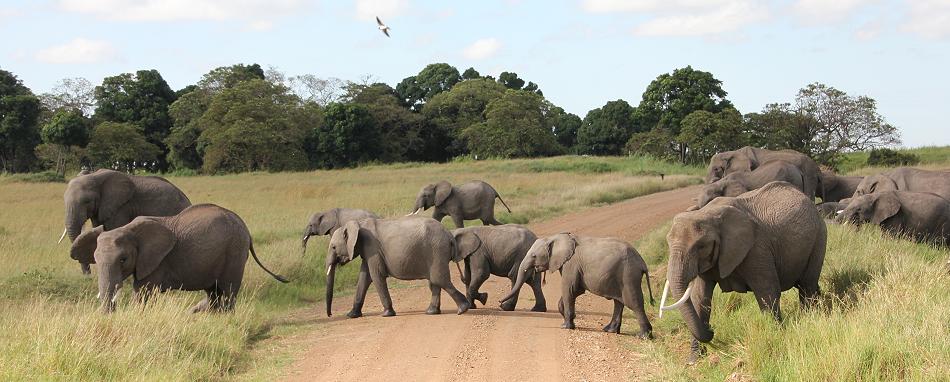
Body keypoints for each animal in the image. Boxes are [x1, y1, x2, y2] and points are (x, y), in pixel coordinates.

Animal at [69, 204, 288, 312]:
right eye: (95, 259)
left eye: (123, 260)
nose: (111, 313)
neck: (128, 229)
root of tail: (246, 228)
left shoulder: (156, 262)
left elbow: (143, 293)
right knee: (213, 291)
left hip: (234, 251)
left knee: (227, 290)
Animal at [328, 216, 472, 318]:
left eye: (333, 247)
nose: (330, 315)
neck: (358, 223)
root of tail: (449, 234)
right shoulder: (368, 251)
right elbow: (364, 278)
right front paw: (351, 315)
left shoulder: (372, 248)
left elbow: (376, 276)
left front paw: (387, 314)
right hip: (437, 252)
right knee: (436, 281)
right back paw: (431, 312)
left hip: (437, 251)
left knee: (439, 279)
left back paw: (463, 309)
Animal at [502, 233, 660, 338]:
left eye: (534, 256)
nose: (500, 302)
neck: (557, 237)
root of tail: (642, 262)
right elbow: (576, 290)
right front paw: (570, 320)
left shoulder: (570, 265)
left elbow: (569, 289)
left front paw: (565, 327)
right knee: (619, 302)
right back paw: (609, 330)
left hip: (628, 275)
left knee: (633, 303)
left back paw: (643, 336)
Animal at [660, 182, 828, 364]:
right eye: (668, 243)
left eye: (701, 246)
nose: (712, 330)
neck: (707, 213)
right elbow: (700, 298)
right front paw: (693, 360)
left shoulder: (756, 249)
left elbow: (767, 292)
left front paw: (775, 339)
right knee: (808, 285)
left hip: (820, 236)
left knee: (807, 285)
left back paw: (810, 317)